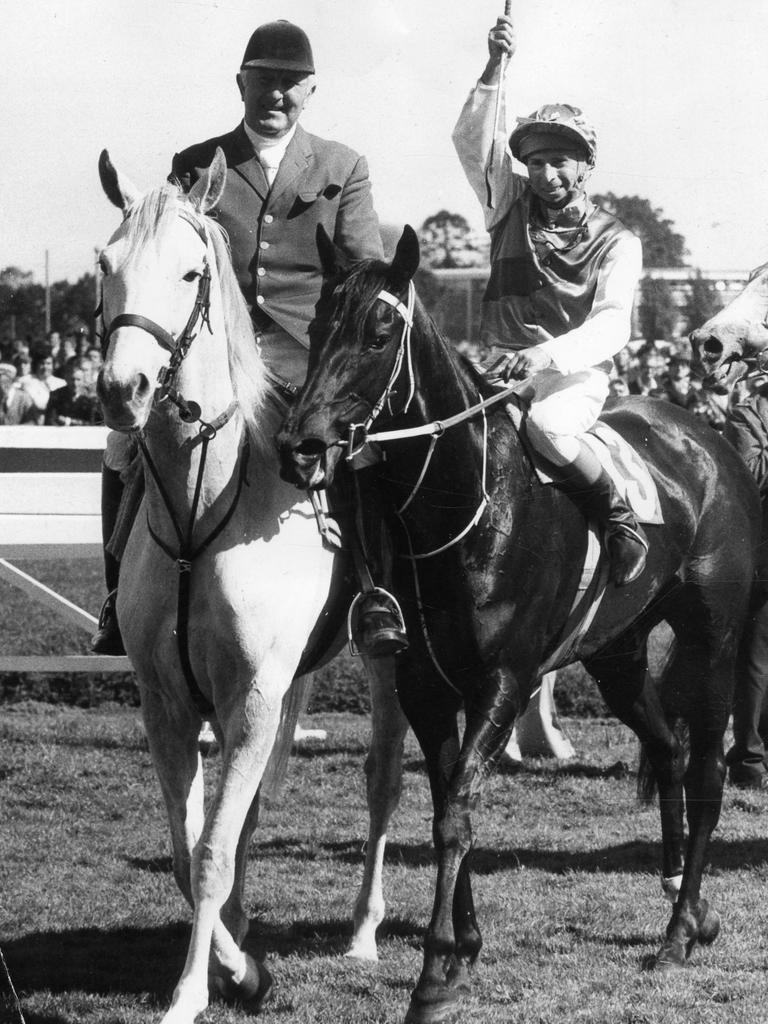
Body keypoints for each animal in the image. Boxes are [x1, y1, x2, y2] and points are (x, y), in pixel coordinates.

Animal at [280, 226, 761, 1024]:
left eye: (378, 333)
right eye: (316, 327)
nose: (301, 446)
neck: (465, 510)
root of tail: (708, 438)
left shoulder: (501, 682)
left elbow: (456, 812)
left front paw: (435, 973)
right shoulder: (423, 685)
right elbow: (447, 803)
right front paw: (464, 947)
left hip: (713, 640)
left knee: (707, 770)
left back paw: (677, 931)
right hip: (618, 654)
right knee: (665, 747)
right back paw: (685, 907)